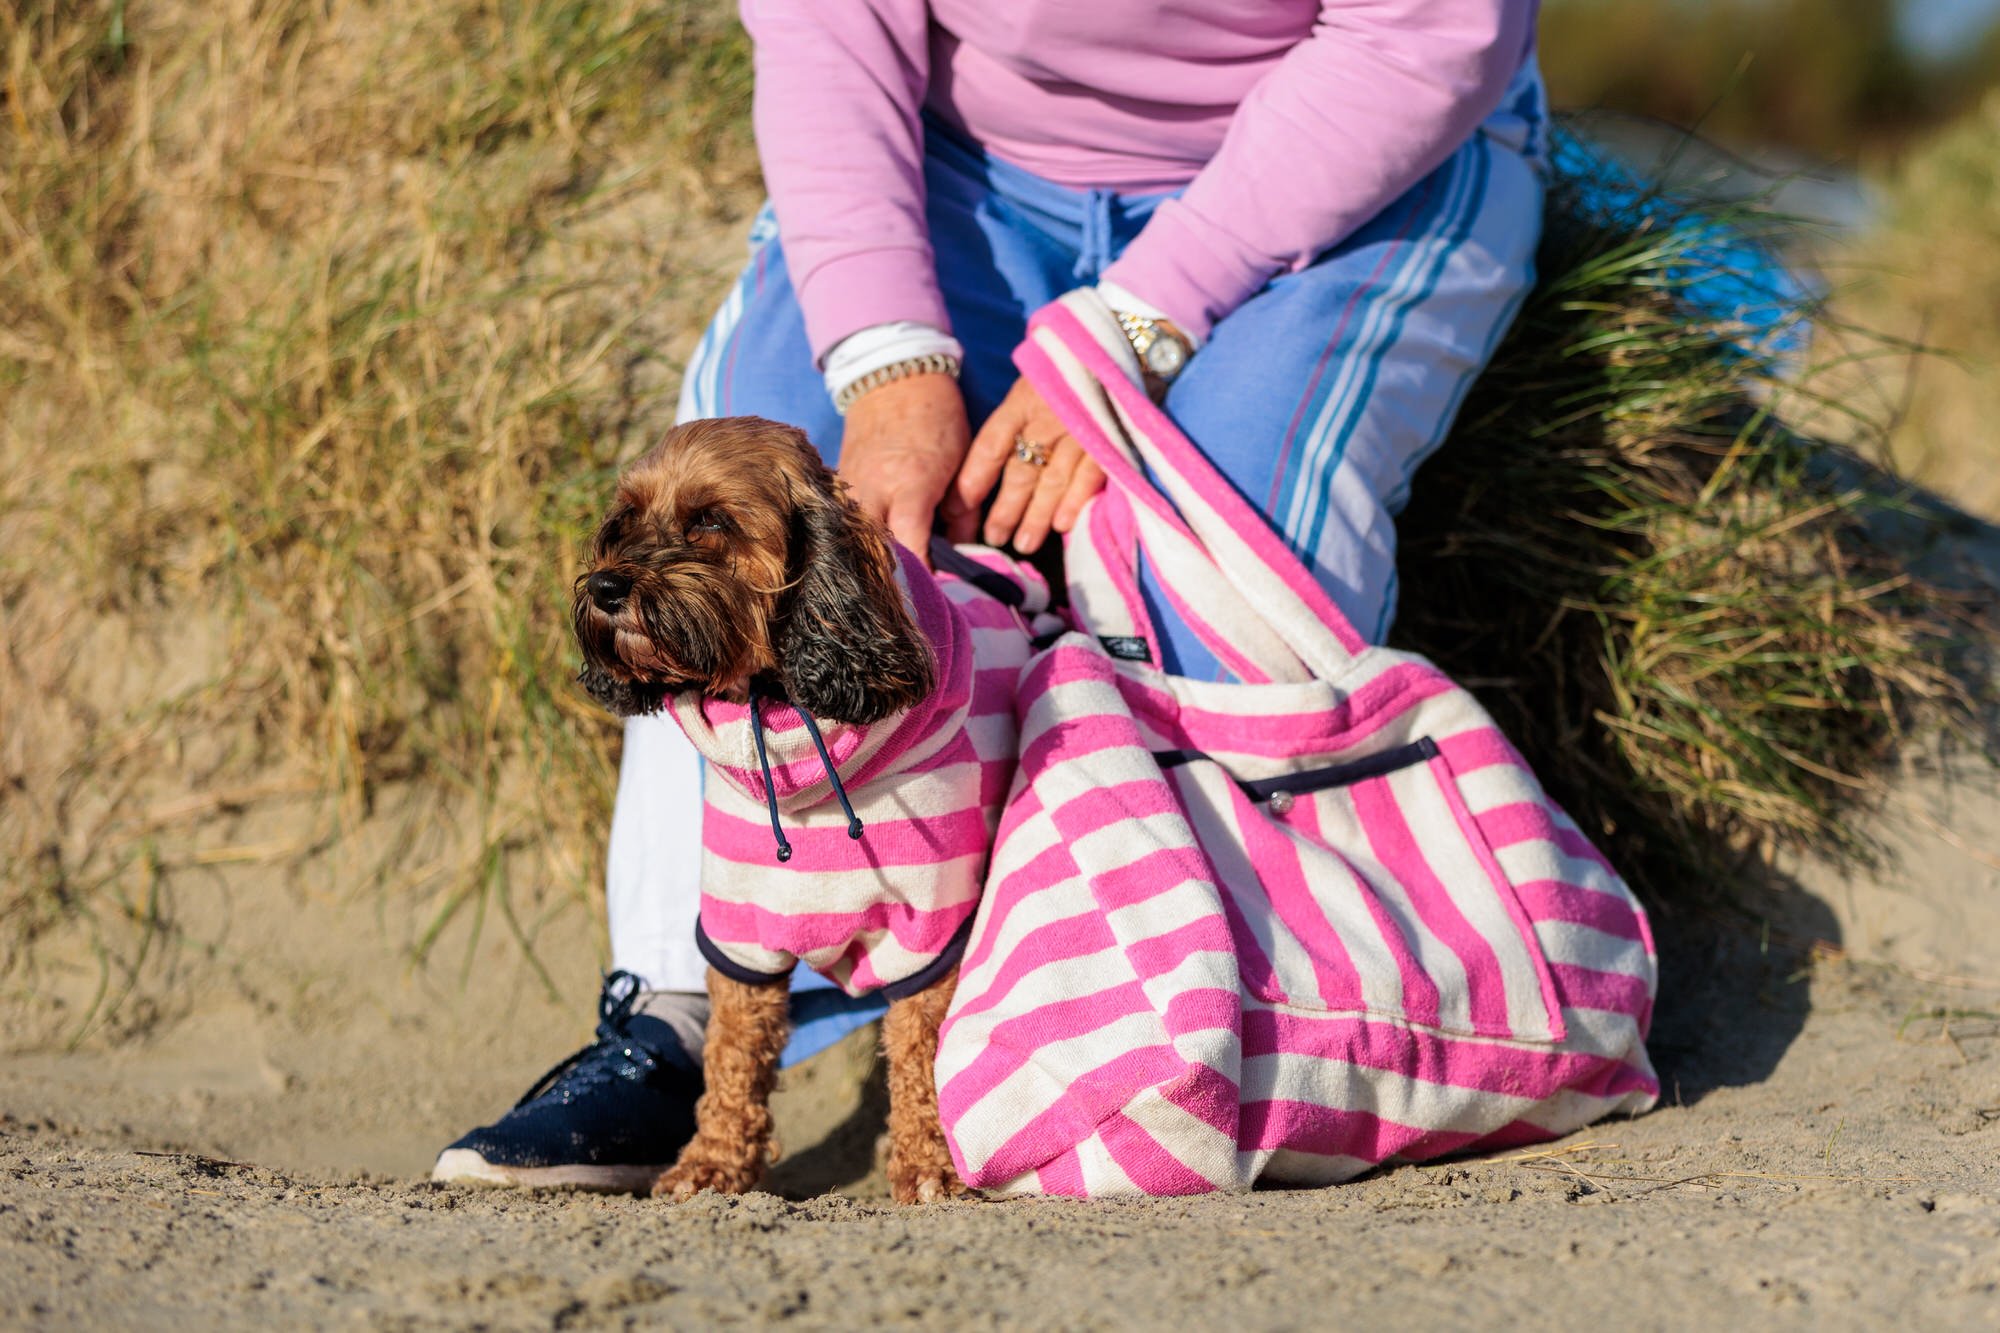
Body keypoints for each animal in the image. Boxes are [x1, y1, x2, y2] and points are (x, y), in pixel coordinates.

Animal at [576, 416, 972, 1200]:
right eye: (625, 519)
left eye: (710, 520)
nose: (606, 585)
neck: (778, 704)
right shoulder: (740, 928)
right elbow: (732, 1055)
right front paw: (714, 1160)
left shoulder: (929, 927)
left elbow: (922, 1053)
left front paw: (930, 1162)